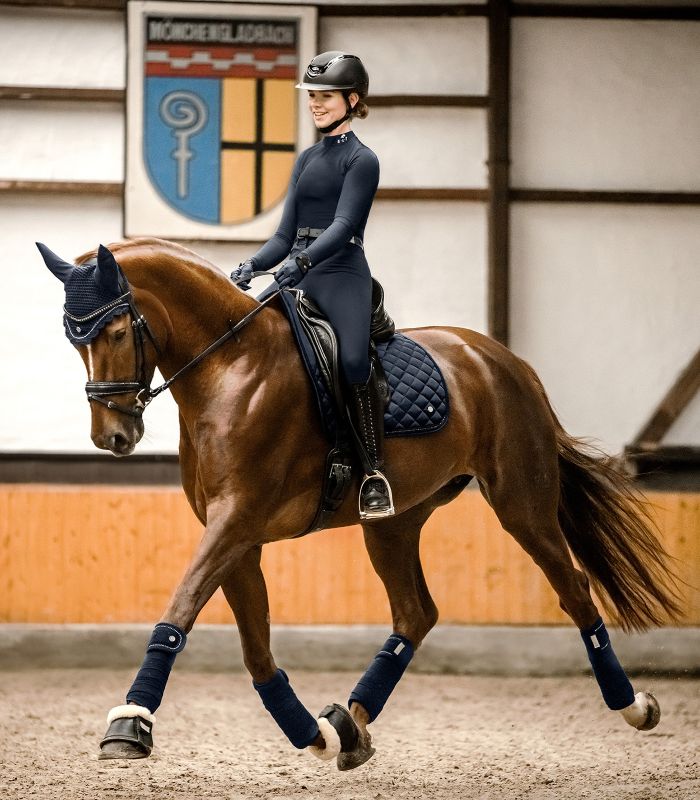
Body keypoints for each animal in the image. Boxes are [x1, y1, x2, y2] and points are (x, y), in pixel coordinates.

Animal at [39, 238, 684, 768]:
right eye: (74, 342)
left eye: (117, 332)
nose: (112, 437)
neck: (230, 367)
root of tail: (505, 360)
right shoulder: (237, 537)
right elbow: (255, 651)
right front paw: (315, 736)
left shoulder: (235, 521)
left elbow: (178, 612)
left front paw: (130, 725)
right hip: (395, 522)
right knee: (415, 613)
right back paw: (351, 724)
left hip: (521, 502)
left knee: (573, 590)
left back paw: (633, 706)